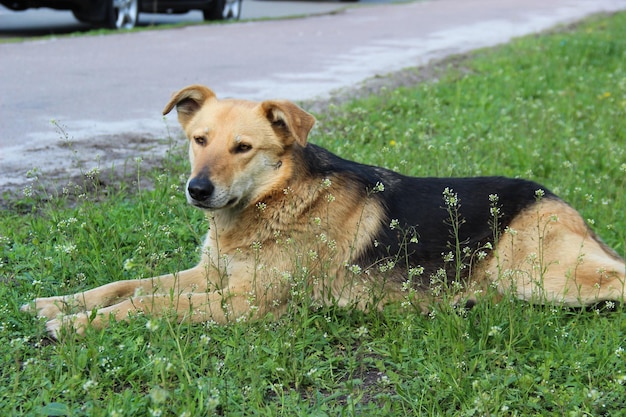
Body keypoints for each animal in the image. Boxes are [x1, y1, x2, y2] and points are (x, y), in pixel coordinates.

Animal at [22, 84, 620, 338]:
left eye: (243, 148)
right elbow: (127, 286)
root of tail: (559, 201)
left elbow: (146, 304)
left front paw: (78, 325)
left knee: (616, 278)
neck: (274, 203)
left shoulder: (246, 304)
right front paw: (60, 304)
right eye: (199, 139)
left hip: (544, 275)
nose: (197, 189)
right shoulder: (211, 276)